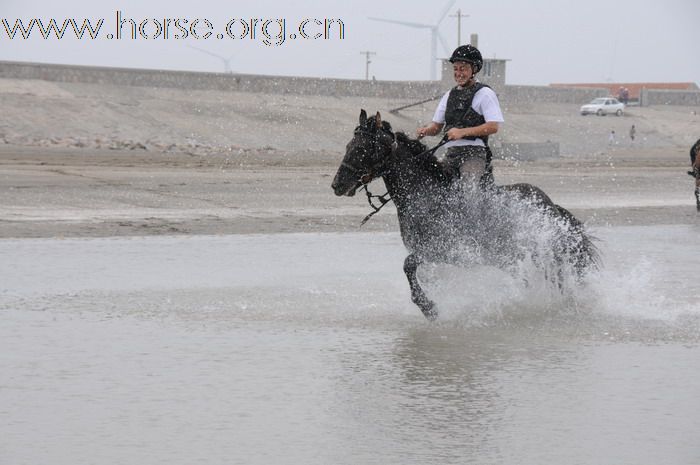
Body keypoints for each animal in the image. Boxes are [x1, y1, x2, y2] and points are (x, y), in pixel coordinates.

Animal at [330, 109, 600, 320]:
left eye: (363, 148)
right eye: (349, 145)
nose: (337, 185)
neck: (426, 197)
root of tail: (549, 202)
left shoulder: (445, 250)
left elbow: (408, 266)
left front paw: (430, 309)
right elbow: (420, 274)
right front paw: (432, 304)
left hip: (540, 251)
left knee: (557, 276)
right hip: (512, 256)